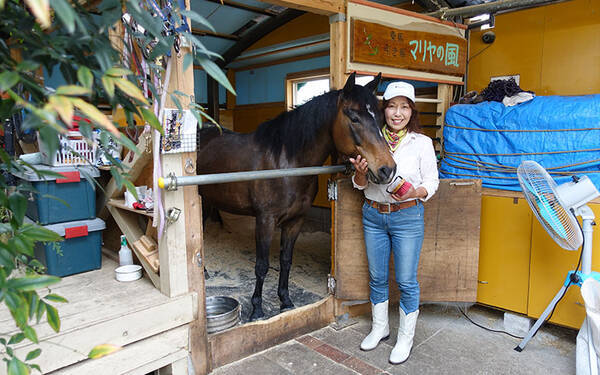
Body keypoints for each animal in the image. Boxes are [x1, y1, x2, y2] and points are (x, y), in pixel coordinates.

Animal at [196, 72, 394, 320]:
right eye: (355, 118)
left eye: (380, 119)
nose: (388, 169)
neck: (286, 164)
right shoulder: (265, 220)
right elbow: (262, 265)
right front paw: (257, 309)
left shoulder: (295, 221)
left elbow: (286, 260)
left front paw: (286, 301)